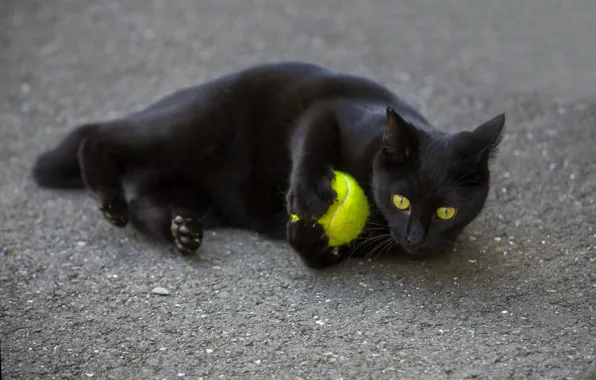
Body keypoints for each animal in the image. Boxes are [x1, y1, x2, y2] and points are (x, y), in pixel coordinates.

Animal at [32, 61, 506, 268]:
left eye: (445, 211)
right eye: (401, 200)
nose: (414, 238)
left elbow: (325, 256)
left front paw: (309, 237)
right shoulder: (330, 109)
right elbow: (311, 145)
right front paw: (308, 199)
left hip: (195, 194)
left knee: (146, 204)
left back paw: (180, 231)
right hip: (188, 128)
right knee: (102, 136)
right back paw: (108, 197)